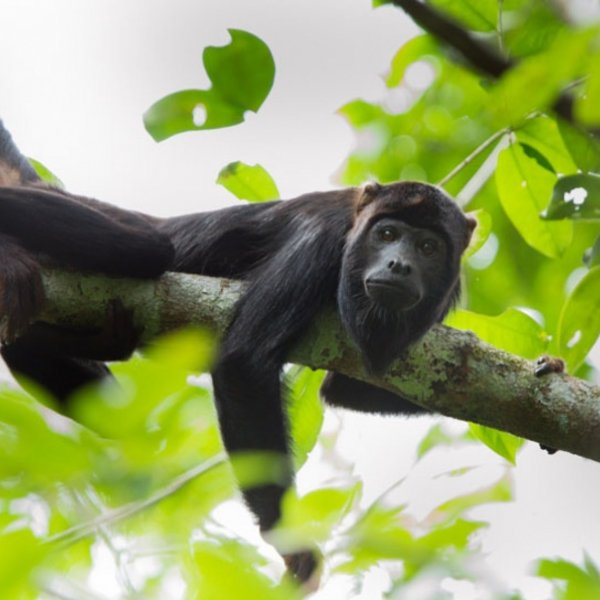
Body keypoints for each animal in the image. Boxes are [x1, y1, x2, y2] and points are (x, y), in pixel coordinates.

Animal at [0, 120, 476, 580]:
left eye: (429, 247)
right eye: (387, 233)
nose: (399, 264)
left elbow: (343, 388)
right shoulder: (320, 239)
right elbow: (244, 360)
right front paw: (286, 536)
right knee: (153, 249)